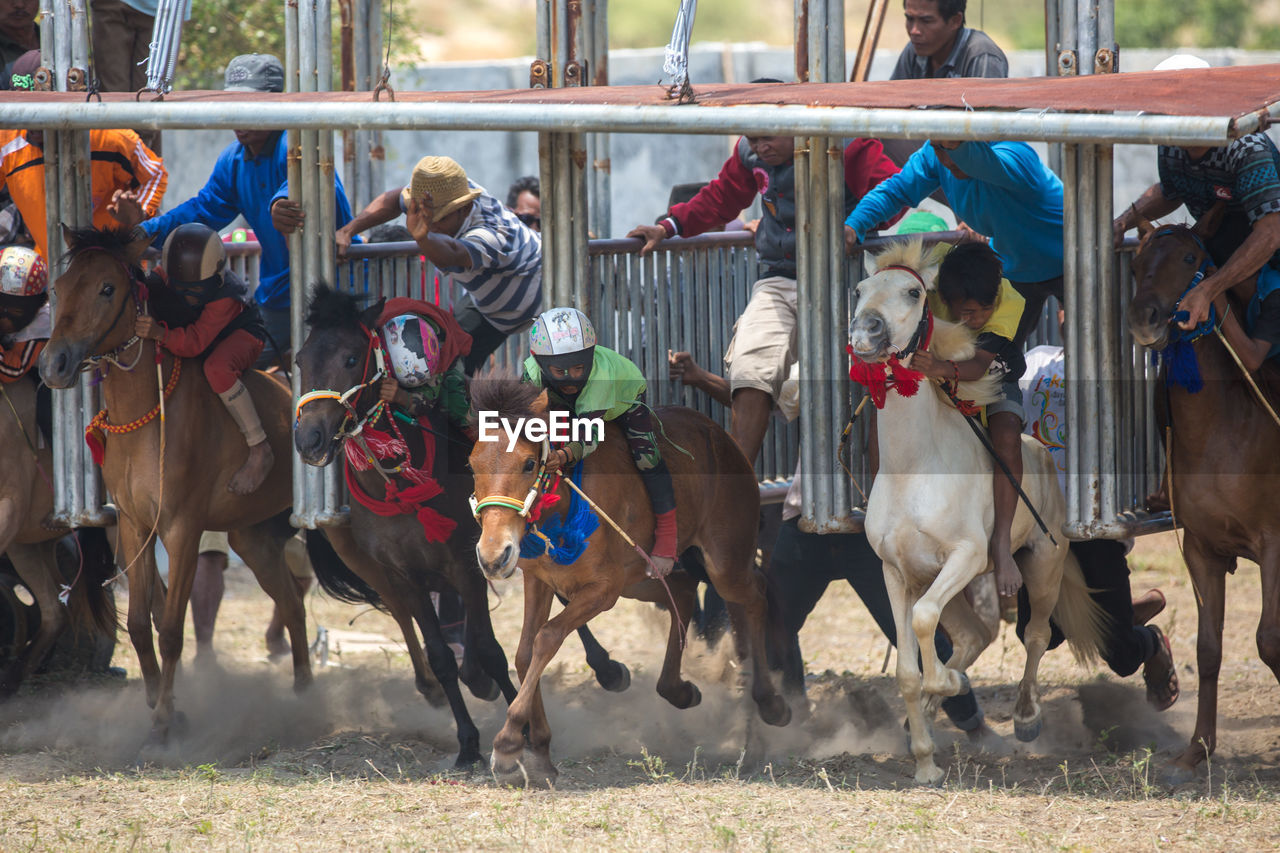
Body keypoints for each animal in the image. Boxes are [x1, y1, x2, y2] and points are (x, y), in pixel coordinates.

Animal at [39, 227, 309, 742]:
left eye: (107, 288)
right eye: (58, 288)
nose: (53, 364)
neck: (148, 413)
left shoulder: (183, 529)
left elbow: (169, 630)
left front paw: (165, 717)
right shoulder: (133, 525)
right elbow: (139, 624)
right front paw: (155, 701)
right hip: (253, 536)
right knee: (292, 603)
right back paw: (305, 695)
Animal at [471, 379, 788, 783]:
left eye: (528, 463)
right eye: (471, 465)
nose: (493, 557)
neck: (565, 506)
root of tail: (722, 436)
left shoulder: (603, 590)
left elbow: (547, 639)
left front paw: (509, 741)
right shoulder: (539, 579)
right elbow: (526, 653)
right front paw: (540, 746)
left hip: (724, 561)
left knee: (755, 594)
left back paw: (771, 703)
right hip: (642, 578)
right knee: (683, 592)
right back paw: (679, 690)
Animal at [844, 235, 1105, 778]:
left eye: (912, 293)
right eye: (858, 290)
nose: (865, 331)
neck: (914, 469)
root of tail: (1042, 454)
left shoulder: (964, 556)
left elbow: (924, 623)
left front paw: (946, 686)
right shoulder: (897, 573)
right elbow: (908, 668)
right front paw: (926, 762)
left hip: (1041, 565)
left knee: (1035, 633)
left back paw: (1025, 718)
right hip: (947, 583)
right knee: (974, 636)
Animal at [1131, 208, 1280, 778]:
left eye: (1191, 257)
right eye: (1136, 261)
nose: (1145, 317)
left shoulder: (1274, 545)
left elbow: (1268, 641)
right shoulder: (1202, 550)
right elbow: (1209, 648)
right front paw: (1198, 748)